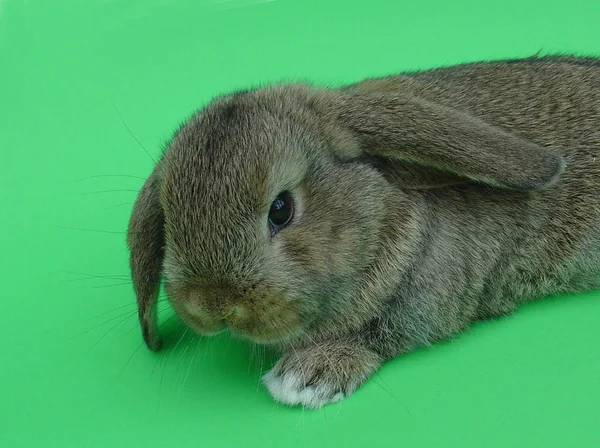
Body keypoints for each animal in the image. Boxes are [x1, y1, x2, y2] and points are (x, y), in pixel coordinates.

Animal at [127, 55, 600, 410]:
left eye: (281, 209)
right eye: (169, 216)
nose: (213, 306)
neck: (383, 215)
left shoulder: (430, 302)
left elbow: (382, 333)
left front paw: (306, 378)